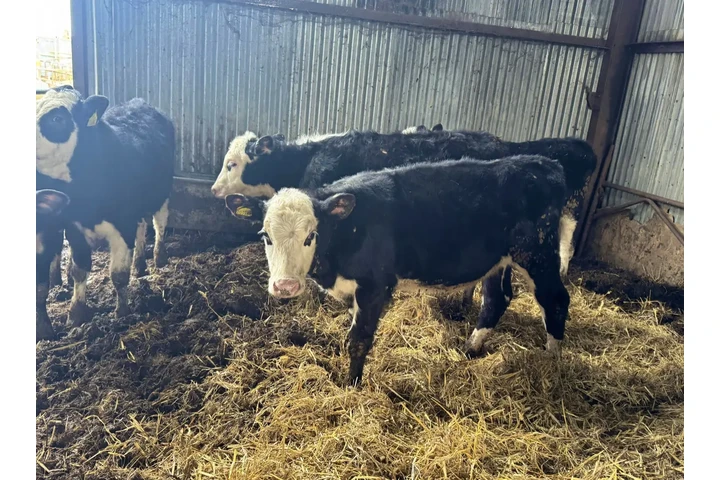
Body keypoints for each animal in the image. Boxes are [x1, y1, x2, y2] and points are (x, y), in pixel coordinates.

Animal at [36, 86, 175, 331]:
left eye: (57, 118)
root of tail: (140, 103)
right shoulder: (75, 229)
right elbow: (79, 270)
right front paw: (76, 313)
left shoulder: (122, 226)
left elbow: (118, 275)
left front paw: (122, 313)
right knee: (142, 226)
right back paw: (139, 264)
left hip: (162, 193)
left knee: (159, 224)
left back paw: (159, 257)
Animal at [225, 155, 570, 386]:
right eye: (265, 236)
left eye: (311, 235)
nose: (285, 286)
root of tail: (541, 164)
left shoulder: (375, 285)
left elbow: (359, 339)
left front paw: (351, 387)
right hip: (499, 261)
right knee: (496, 300)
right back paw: (471, 349)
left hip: (537, 253)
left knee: (556, 299)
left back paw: (552, 362)